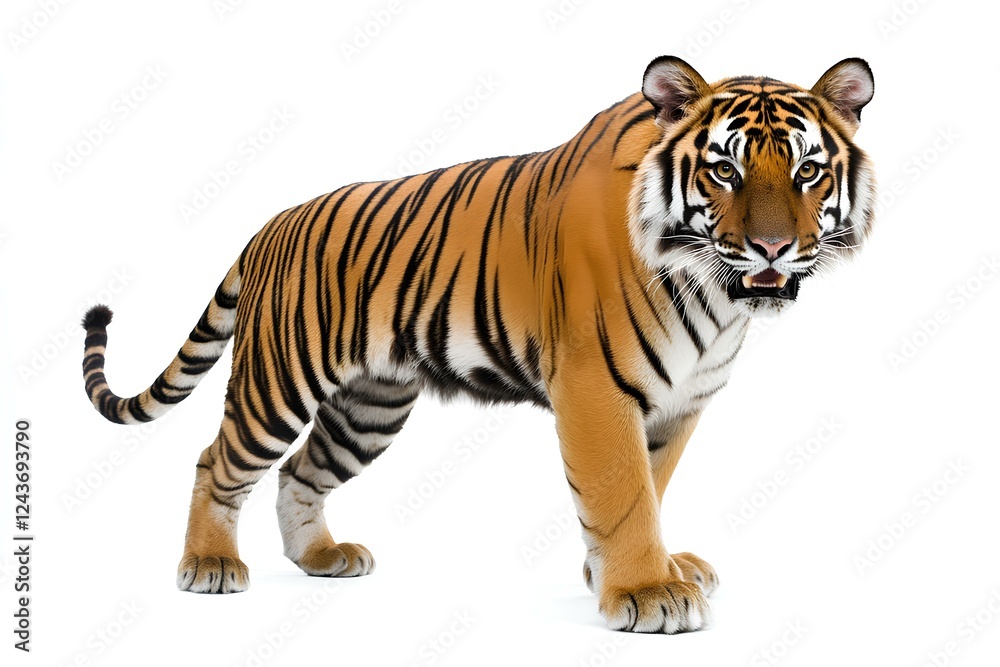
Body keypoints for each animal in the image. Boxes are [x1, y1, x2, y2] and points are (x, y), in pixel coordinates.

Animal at [80, 55, 875, 634]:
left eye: (807, 170)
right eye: (724, 169)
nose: (772, 247)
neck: (714, 295)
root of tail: (269, 225)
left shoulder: (679, 403)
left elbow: (651, 485)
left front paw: (630, 574)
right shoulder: (596, 388)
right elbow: (622, 492)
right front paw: (648, 590)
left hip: (369, 407)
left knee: (301, 471)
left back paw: (322, 557)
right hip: (279, 378)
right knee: (218, 460)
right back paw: (209, 564)